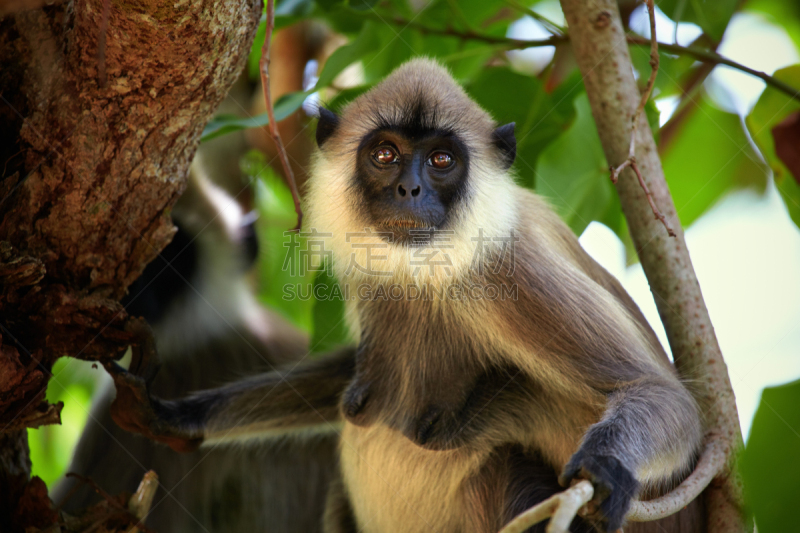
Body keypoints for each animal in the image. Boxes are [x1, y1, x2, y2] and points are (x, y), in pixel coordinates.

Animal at [108, 58, 708, 532]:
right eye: (385, 155)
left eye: (441, 160)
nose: (409, 188)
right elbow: (350, 384)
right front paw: (178, 416)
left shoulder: (510, 272)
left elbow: (661, 395)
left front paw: (606, 473)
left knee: (504, 462)